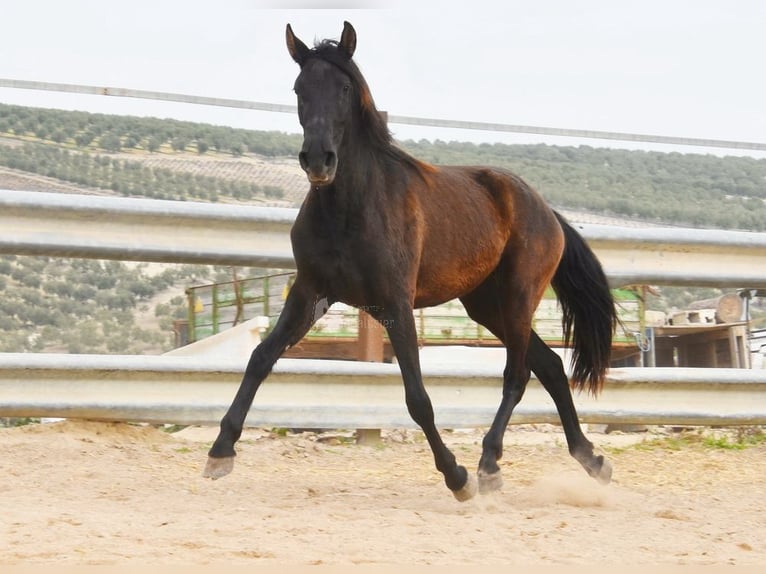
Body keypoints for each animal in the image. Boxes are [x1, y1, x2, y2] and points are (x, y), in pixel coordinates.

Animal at [204, 20, 616, 502]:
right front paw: (220, 452)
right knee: (548, 365)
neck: (350, 210)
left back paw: (489, 466)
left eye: (345, 87)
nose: (318, 160)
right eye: (298, 88)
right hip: (486, 307)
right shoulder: (310, 294)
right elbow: (260, 358)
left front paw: (457, 478)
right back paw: (591, 460)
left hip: (517, 300)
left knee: (517, 374)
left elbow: (417, 397)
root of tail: (546, 210)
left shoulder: (395, 305)